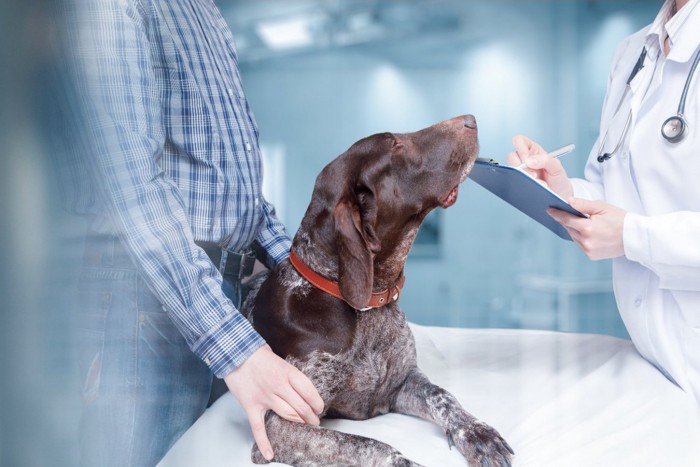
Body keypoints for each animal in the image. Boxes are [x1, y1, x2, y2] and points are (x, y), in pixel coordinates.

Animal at [243, 115, 512, 466]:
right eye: (396, 145)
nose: (470, 120)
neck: (366, 306)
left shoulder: (402, 383)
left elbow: (443, 396)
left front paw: (477, 432)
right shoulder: (278, 424)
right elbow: (365, 444)